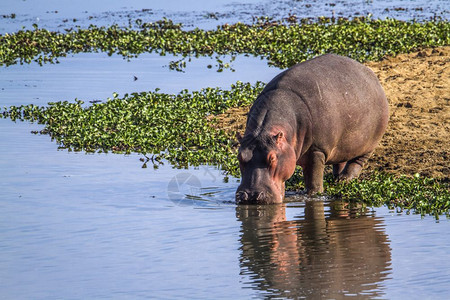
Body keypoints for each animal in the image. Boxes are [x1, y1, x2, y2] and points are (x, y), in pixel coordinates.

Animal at [237, 53, 388, 204]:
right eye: (239, 156)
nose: (251, 195)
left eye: (272, 158)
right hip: (343, 144)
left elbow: (314, 181)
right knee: (341, 159)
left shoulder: (317, 150)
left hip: (370, 143)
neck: (264, 131)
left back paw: (344, 180)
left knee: (357, 161)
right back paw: (337, 179)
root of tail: (369, 73)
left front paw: (316, 195)